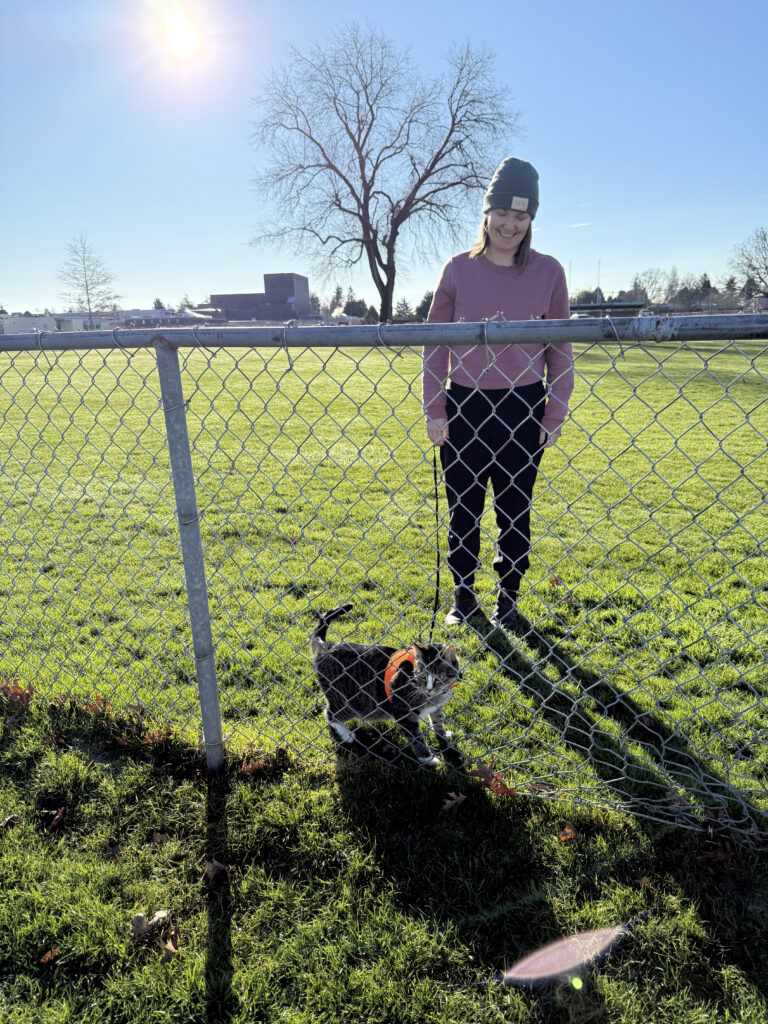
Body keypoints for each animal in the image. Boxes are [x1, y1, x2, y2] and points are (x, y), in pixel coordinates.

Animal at [309, 602, 460, 765]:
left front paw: (443, 735)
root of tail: (327, 647)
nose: (429, 689)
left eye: (439, 678)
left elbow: (438, 721)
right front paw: (427, 758)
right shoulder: (403, 713)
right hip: (346, 702)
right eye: (422, 677)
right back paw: (346, 734)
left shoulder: (436, 707)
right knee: (330, 714)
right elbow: (416, 738)